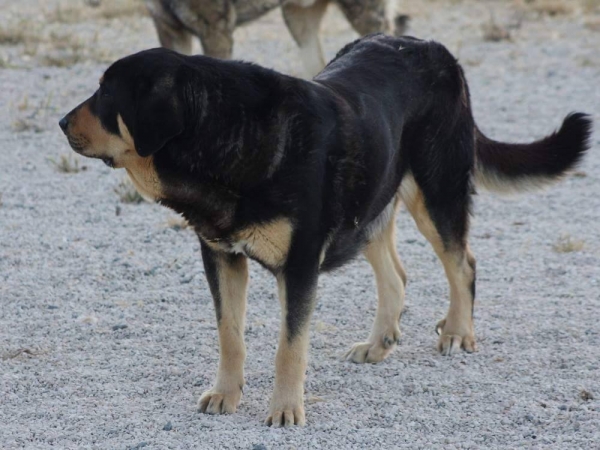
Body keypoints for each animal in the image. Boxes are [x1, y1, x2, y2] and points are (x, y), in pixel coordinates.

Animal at [57, 34, 592, 426]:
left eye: (106, 93)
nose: (60, 122)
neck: (224, 133)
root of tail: (436, 48)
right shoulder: (221, 256)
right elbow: (231, 334)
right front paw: (226, 394)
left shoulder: (298, 267)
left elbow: (289, 347)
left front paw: (284, 409)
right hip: (367, 206)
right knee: (396, 276)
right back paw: (378, 343)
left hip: (433, 192)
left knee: (463, 262)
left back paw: (459, 332)